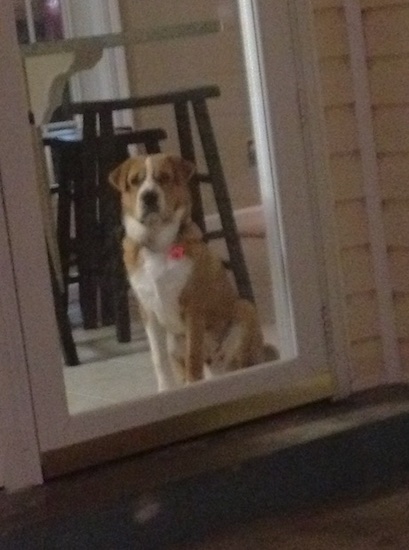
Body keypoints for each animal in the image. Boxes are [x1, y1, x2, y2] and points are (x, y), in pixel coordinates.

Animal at [108, 152, 278, 392]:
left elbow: (193, 354)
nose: (149, 197)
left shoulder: (193, 309)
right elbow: (158, 358)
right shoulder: (148, 311)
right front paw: (165, 389)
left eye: (164, 178)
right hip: (174, 338)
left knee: (236, 363)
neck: (158, 243)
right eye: (135, 181)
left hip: (245, 310)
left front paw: (191, 384)